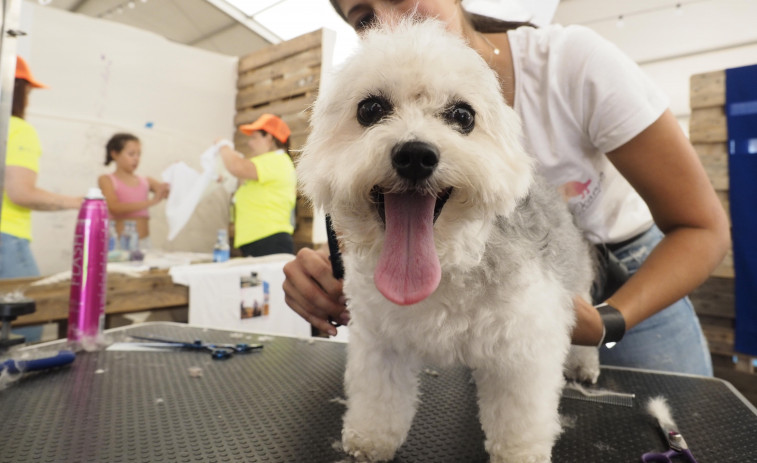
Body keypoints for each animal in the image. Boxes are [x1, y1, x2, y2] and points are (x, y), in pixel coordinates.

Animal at [296, 19, 596, 463]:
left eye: (462, 115)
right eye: (370, 109)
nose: (415, 155)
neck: (447, 264)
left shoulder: (524, 348)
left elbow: (520, 418)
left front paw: (520, 452)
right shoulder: (379, 341)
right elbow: (379, 399)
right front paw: (370, 439)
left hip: (577, 285)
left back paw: (584, 364)